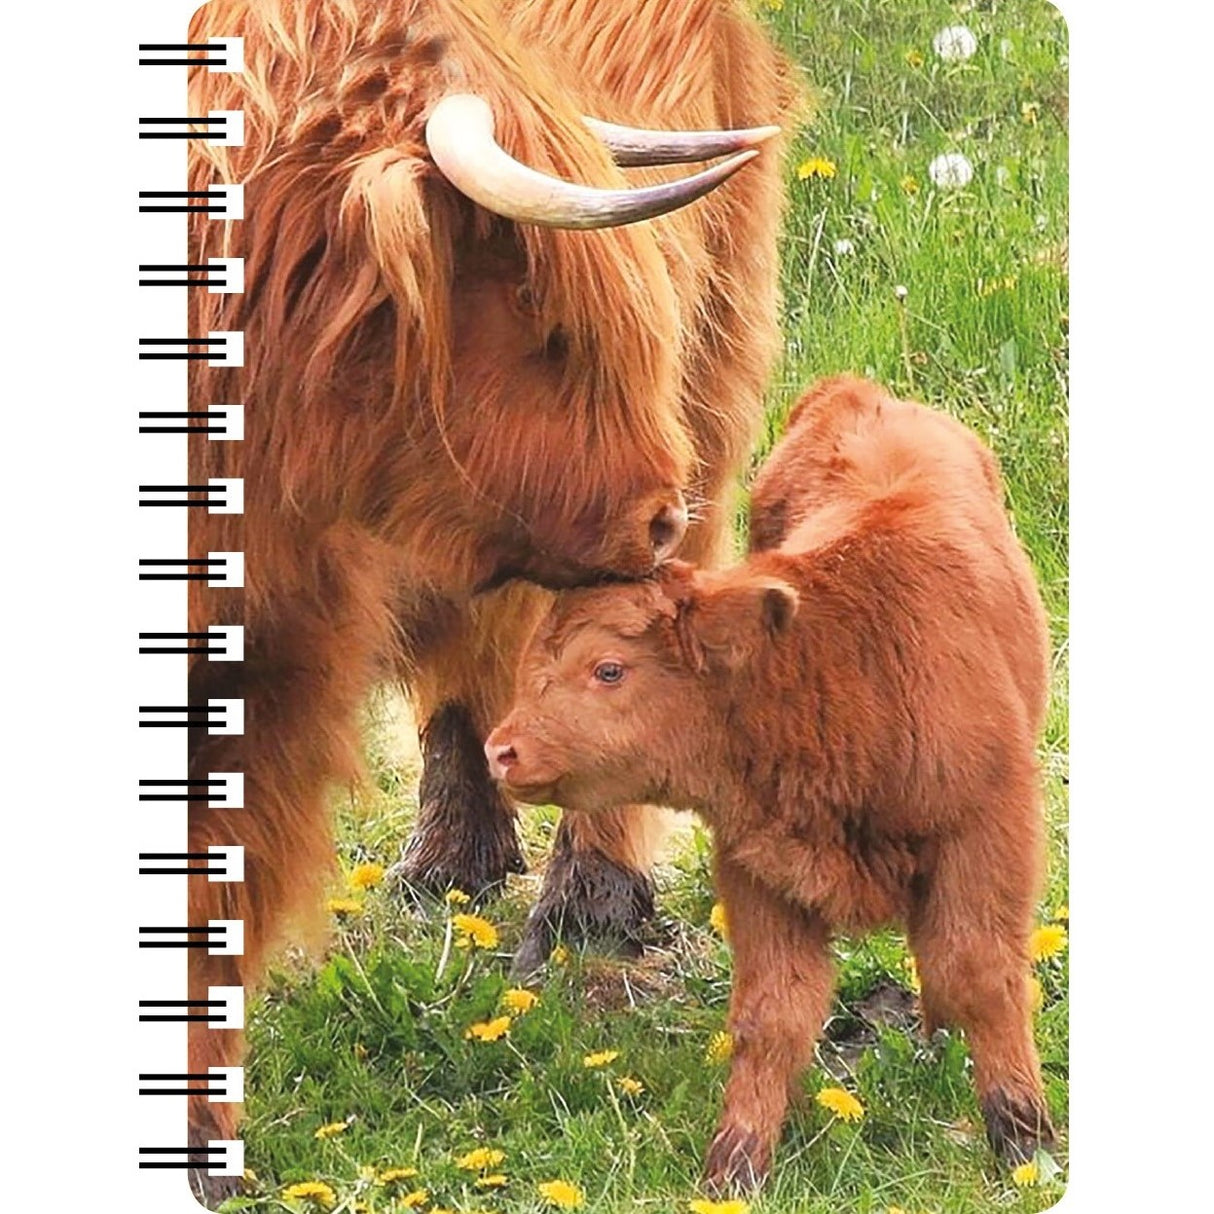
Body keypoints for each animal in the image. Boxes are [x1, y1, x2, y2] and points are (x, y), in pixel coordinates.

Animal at [486, 376, 1057, 1193]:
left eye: (609, 669)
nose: (502, 750)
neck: (844, 666)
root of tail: (855, 393)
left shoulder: (986, 833)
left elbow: (978, 973)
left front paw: (1023, 1141)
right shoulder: (761, 871)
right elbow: (772, 1014)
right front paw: (736, 1164)